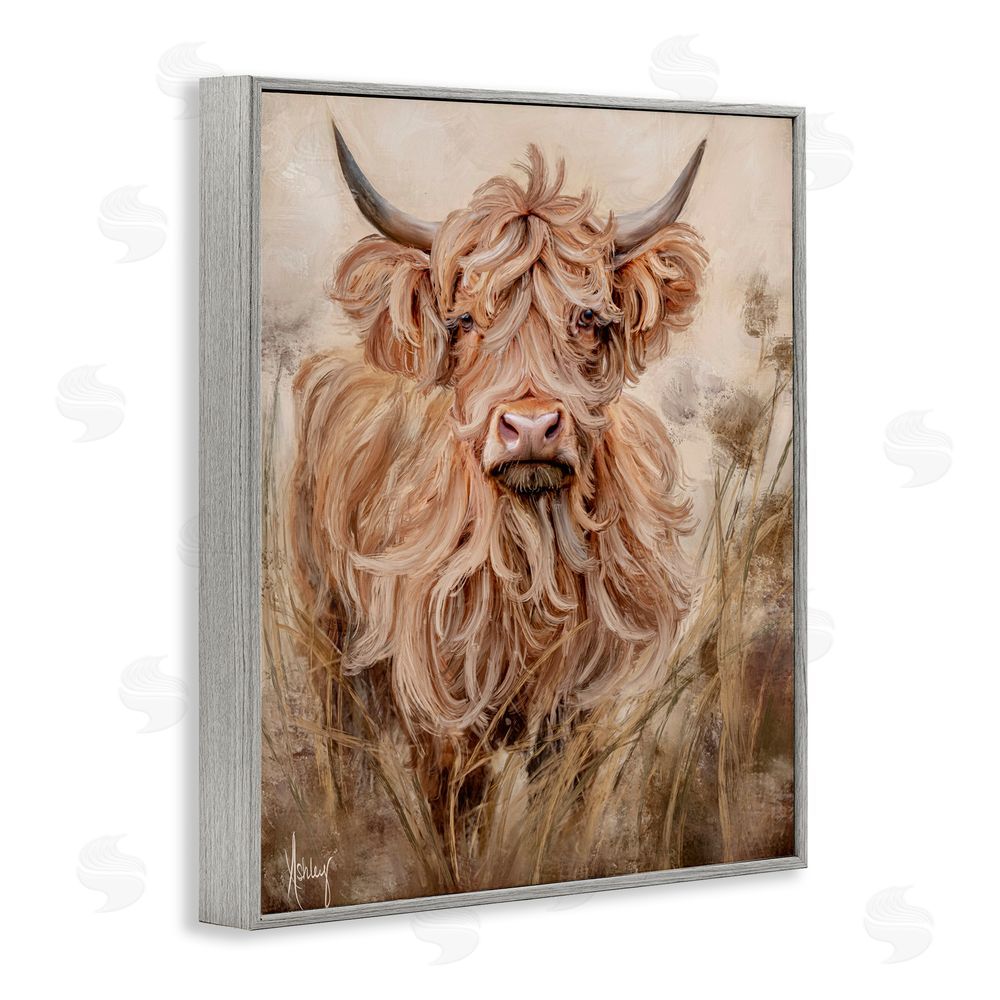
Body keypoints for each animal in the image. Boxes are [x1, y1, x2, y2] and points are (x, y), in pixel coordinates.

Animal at [289, 124, 709, 815]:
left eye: (588, 317)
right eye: (462, 320)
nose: (531, 427)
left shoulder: (578, 714)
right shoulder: (443, 717)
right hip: (325, 630)